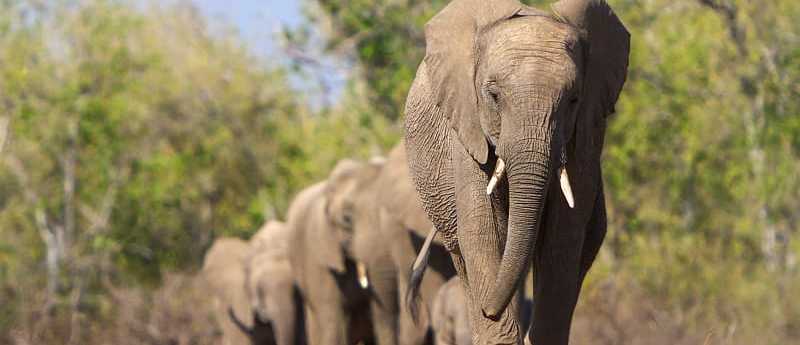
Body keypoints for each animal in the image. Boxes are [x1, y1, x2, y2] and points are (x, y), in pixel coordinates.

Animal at [404, 0, 628, 342]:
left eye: (573, 99)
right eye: (493, 96)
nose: (489, 310)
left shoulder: (586, 135)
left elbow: (562, 236)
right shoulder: (466, 127)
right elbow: (483, 230)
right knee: (465, 257)